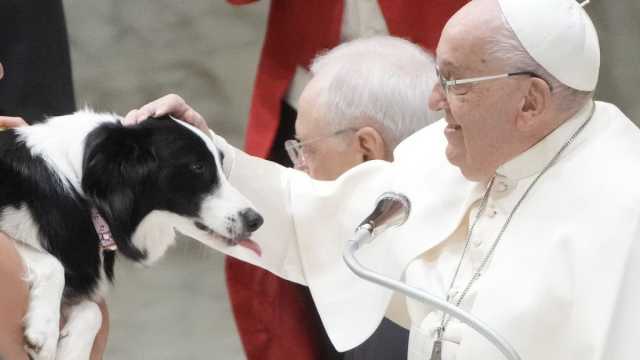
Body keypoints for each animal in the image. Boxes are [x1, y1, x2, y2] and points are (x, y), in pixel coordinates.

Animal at [0, 110, 262, 360]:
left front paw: (70, 350)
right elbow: (54, 265)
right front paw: (43, 332)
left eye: (221, 163)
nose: (257, 220)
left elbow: (93, 312)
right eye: (198, 167)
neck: (84, 191)